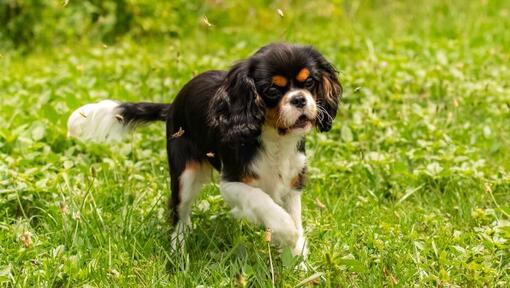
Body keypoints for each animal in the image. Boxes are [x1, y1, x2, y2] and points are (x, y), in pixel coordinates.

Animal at [65, 42, 340, 258]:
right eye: (272, 90)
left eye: (310, 82)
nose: (299, 99)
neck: (274, 137)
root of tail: (172, 105)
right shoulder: (231, 183)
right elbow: (263, 202)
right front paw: (286, 230)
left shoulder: (292, 182)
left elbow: (295, 217)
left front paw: (298, 260)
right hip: (183, 175)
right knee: (179, 213)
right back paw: (178, 251)